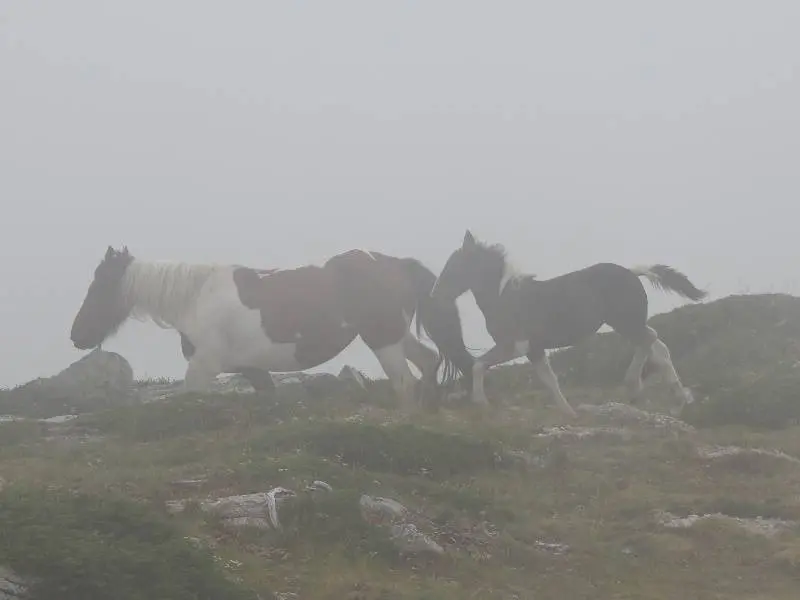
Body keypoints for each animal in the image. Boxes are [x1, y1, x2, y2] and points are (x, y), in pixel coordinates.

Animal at [69, 246, 474, 410]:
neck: (196, 296)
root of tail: (395, 264)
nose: (77, 336)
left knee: (404, 382)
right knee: (428, 361)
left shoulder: (203, 368)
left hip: (384, 340)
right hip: (396, 335)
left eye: (99, 286)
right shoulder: (252, 369)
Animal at [429, 230, 708, 418]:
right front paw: (569, 413)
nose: (435, 295)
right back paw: (669, 397)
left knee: (651, 342)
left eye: (456, 265)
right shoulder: (534, 349)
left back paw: (644, 388)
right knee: (657, 345)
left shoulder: (516, 345)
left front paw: (480, 402)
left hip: (626, 321)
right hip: (629, 323)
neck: (504, 297)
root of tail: (633, 271)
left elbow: (478, 365)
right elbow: (549, 379)